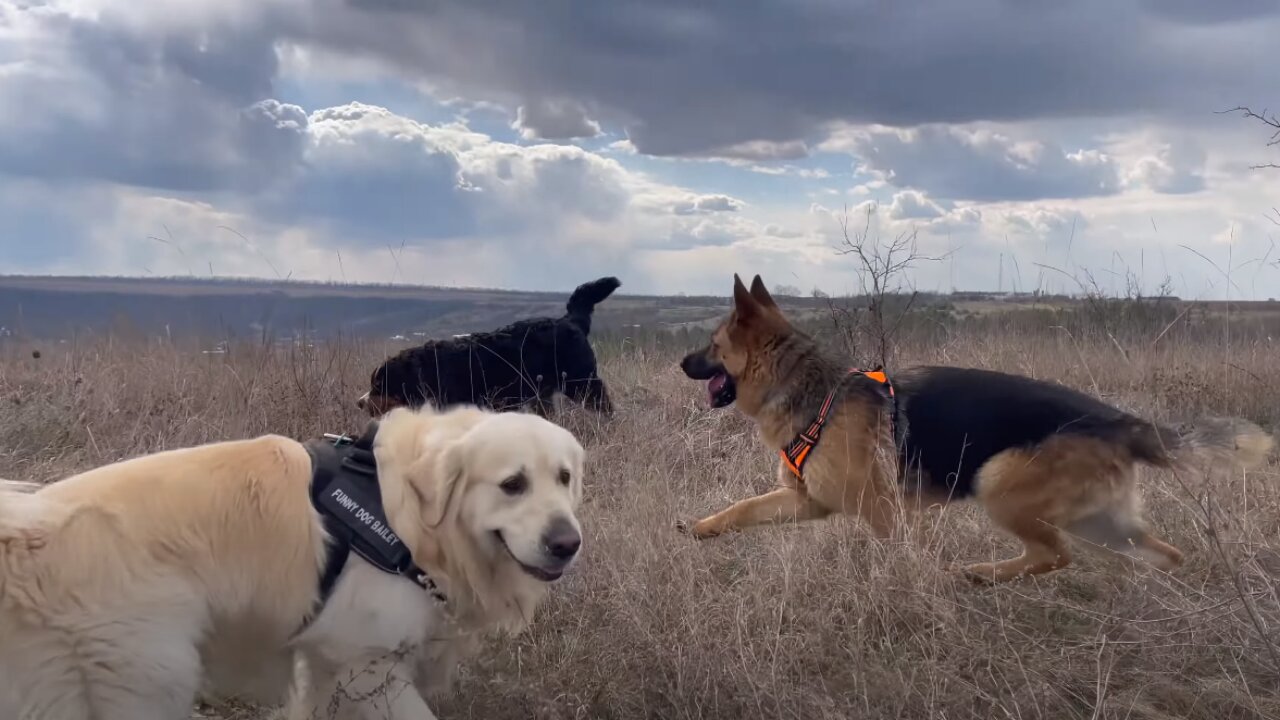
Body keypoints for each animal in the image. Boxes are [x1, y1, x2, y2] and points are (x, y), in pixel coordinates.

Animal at [0, 404, 586, 717]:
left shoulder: (324, 659)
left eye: (564, 477)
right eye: (512, 484)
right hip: (146, 678)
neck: (407, 516)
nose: (568, 543)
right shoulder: (365, 662)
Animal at [358, 275, 622, 415]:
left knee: (602, 402)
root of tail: (571, 320)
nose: (359, 402)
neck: (430, 369)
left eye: (378, 385)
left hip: (581, 382)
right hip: (543, 393)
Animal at [680, 271, 1269, 579]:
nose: (682, 363)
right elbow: (742, 508)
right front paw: (702, 528)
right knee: (1162, 554)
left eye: (711, 344)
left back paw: (983, 575)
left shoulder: (882, 512)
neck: (813, 388)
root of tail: (1122, 422)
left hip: (999, 484)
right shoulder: (806, 501)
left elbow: (898, 555)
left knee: (1054, 555)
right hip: (1101, 522)